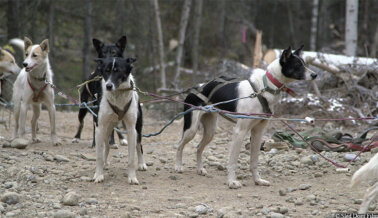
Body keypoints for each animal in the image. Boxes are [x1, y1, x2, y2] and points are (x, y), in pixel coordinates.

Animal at [92, 56, 146, 184]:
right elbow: (99, 156)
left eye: (118, 71)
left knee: (139, 146)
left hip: (138, 128)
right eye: (106, 71)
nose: (108, 86)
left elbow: (131, 158)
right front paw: (99, 175)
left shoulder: (131, 130)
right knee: (106, 146)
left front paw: (132, 177)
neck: (117, 95)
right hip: (106, 130)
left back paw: (141, 164)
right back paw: (105, 163)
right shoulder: (99, 128)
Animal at [176, 45, 318, 189]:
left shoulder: (258, 132)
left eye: (304, 63)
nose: (315, 74)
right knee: (179, 145)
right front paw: (231, 181)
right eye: (298, 65)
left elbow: (254, 161)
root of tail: (195, 88)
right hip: (191, 129)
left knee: (199, 147)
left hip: (210, 131)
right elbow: (233, 161)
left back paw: (200, 169)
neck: (263, 89)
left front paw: (258, 180)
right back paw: (178, 166)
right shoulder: (240, 132)